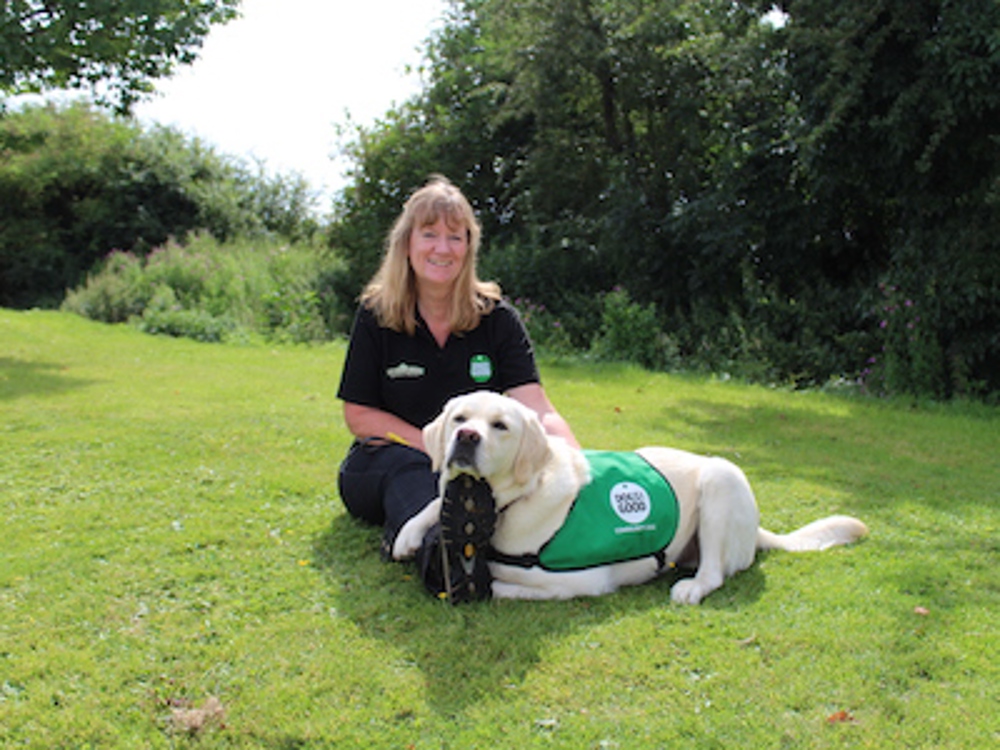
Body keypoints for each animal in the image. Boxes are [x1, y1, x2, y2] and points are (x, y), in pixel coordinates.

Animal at [392, 394, 868, 604]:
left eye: (500, 426)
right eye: (459, 418)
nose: (466, 437)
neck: (515, 499)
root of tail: (757, 530)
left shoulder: (582, 581)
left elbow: (503, 583)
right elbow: (433, 504)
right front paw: (409, 536)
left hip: (721, 477)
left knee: (714, 572)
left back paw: (691, 587)